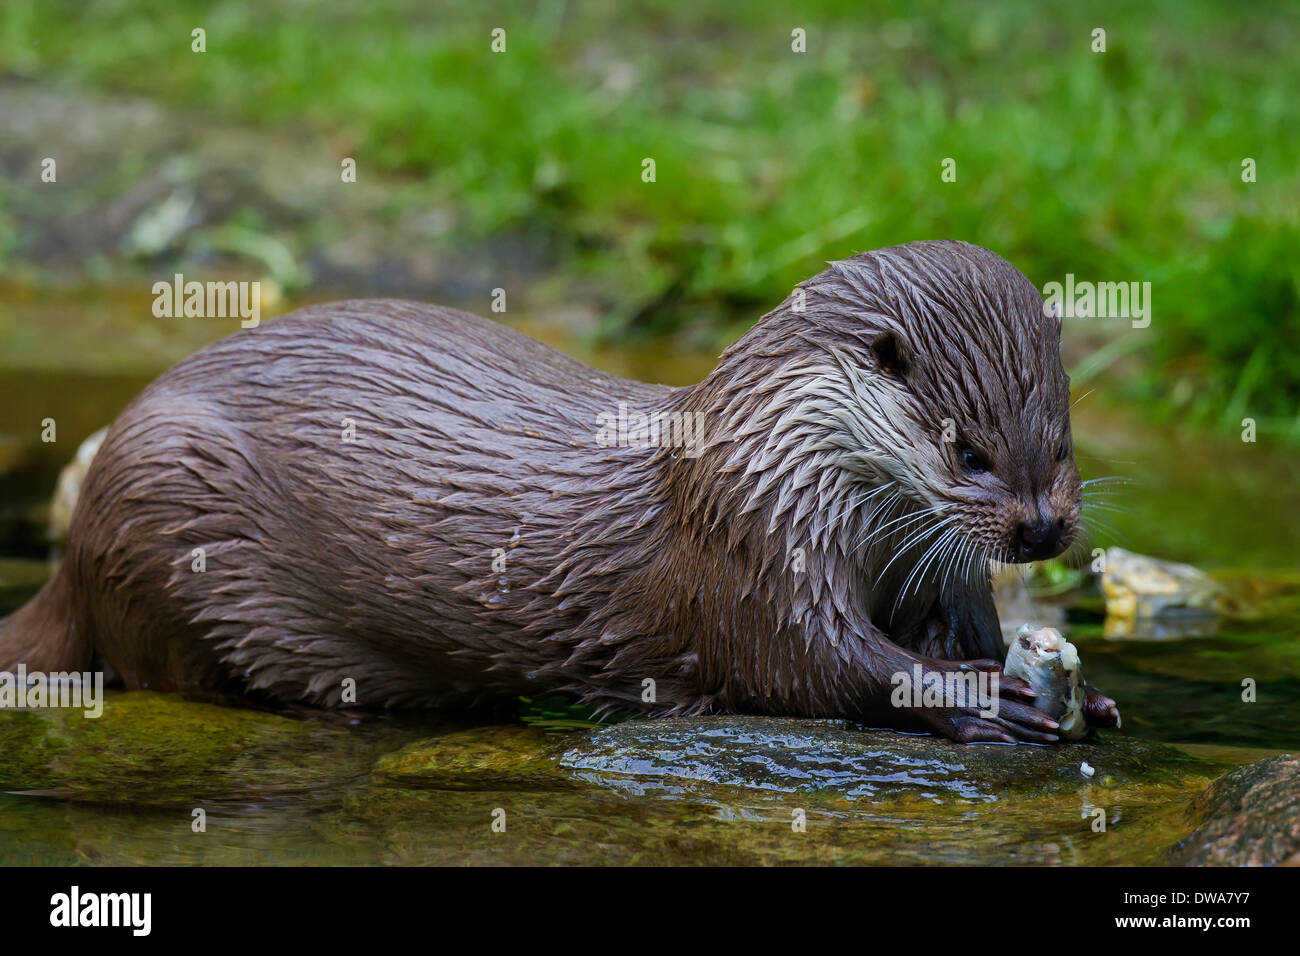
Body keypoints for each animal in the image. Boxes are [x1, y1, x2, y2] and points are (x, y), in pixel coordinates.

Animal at [0, 240, 1119, 742]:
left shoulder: (934, 570)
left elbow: (955, 625)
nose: (1040, 528)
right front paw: (984, 697)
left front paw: (1086, 691)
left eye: (1060, 442)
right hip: (166, 503)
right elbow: (807, 664)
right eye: (968, 451)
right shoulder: (750, 550)